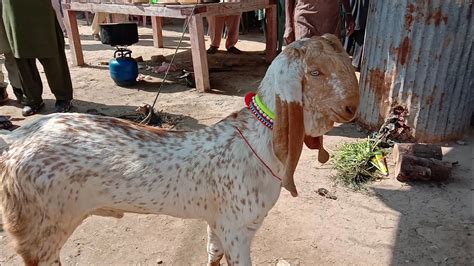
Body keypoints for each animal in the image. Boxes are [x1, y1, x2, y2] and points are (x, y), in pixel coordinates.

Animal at [0, 34, 358, 264]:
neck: (258, 137)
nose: (353, 109)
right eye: (315, 72)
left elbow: (212, 253)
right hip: (39, 236)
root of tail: (15, 142)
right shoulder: (238, 230)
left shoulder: (218, 224)